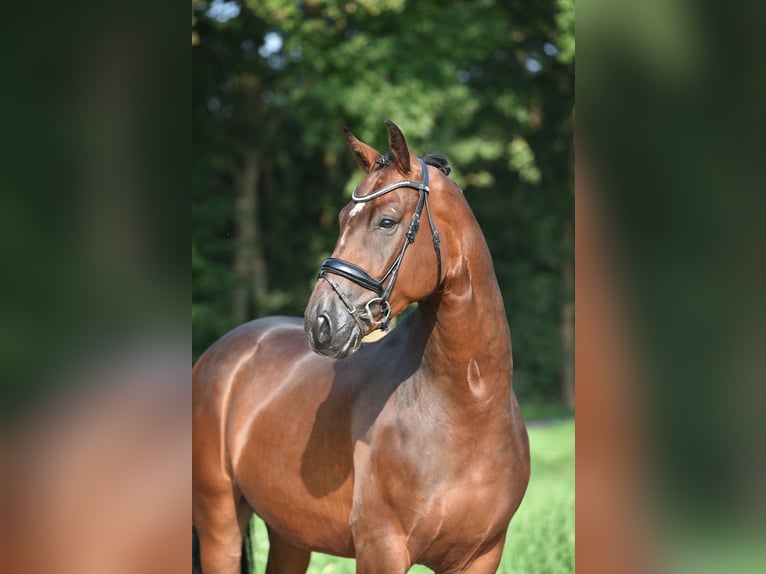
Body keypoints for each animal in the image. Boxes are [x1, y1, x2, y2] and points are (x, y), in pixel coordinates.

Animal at [192, 120, 532, 572]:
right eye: (341, 219)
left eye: (386, 222)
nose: (320, 323)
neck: (467, 406)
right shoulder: (381, 548)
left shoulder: (482, 555)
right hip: (220, 523)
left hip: (289, 536)